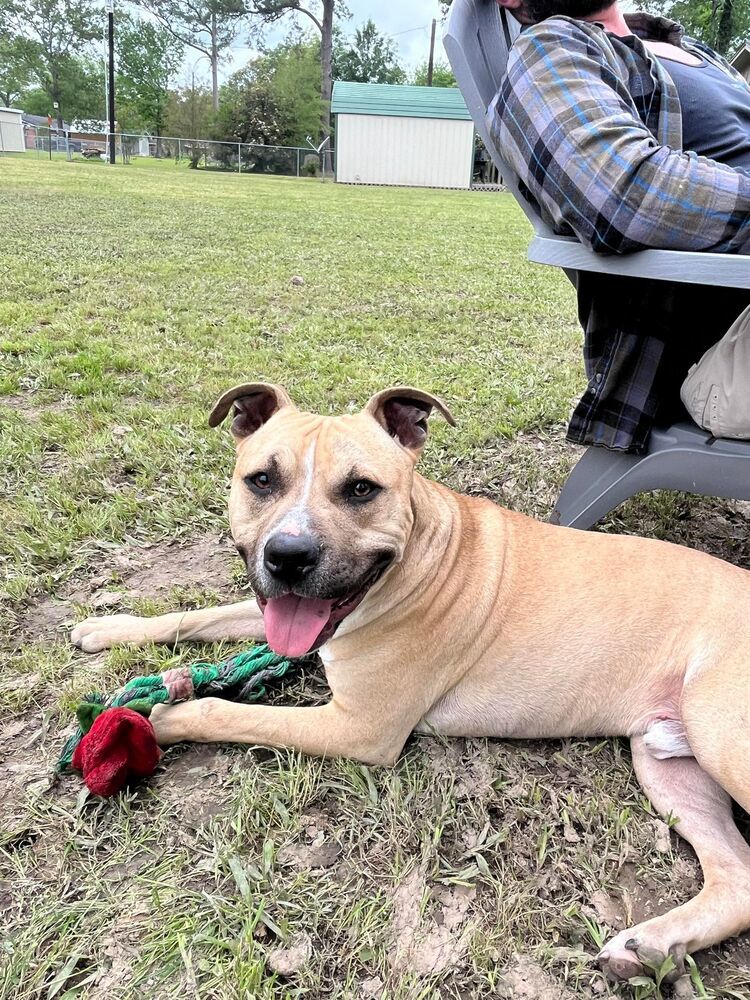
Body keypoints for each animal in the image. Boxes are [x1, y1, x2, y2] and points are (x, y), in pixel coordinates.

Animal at [72, 384, 750, 984]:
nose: (288, 556)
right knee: (736, 879)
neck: (417, 555)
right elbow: (197, 615)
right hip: (668, 764)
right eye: (261, 480)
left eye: (361, 489)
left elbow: (228, 712)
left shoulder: (359, 727)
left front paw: (161, 718)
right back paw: (649, 947)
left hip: (720, 738)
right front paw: (110, 628)